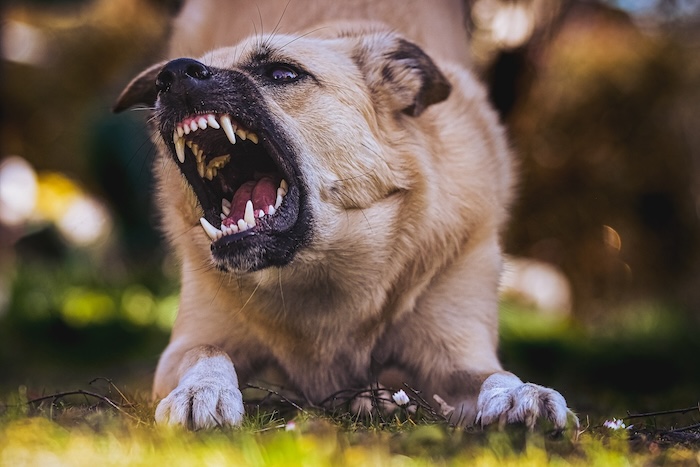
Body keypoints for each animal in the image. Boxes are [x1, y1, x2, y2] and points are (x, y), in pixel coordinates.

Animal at [113, 0, 576, 432]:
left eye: (283, 73)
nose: (172, 75)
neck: (319, 272)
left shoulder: (457, 354)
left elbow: (494, 374)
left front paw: (521, 394)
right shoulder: (188, 343)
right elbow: (207, 351)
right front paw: (201, 390)